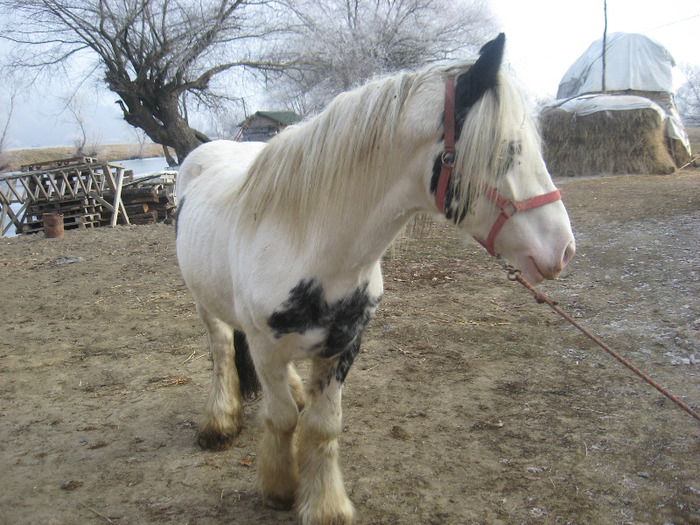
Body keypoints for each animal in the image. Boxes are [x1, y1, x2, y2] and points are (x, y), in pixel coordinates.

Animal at [174, 33, 576, 524]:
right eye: (507, 150)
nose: (562, 249)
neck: (306, 242)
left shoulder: (344, 345)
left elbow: (322, 425)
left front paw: (324, 504)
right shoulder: (266, 349)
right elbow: (282, 419)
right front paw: (280, 487)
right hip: (205, 305)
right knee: (221, 353)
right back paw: (219, 422)